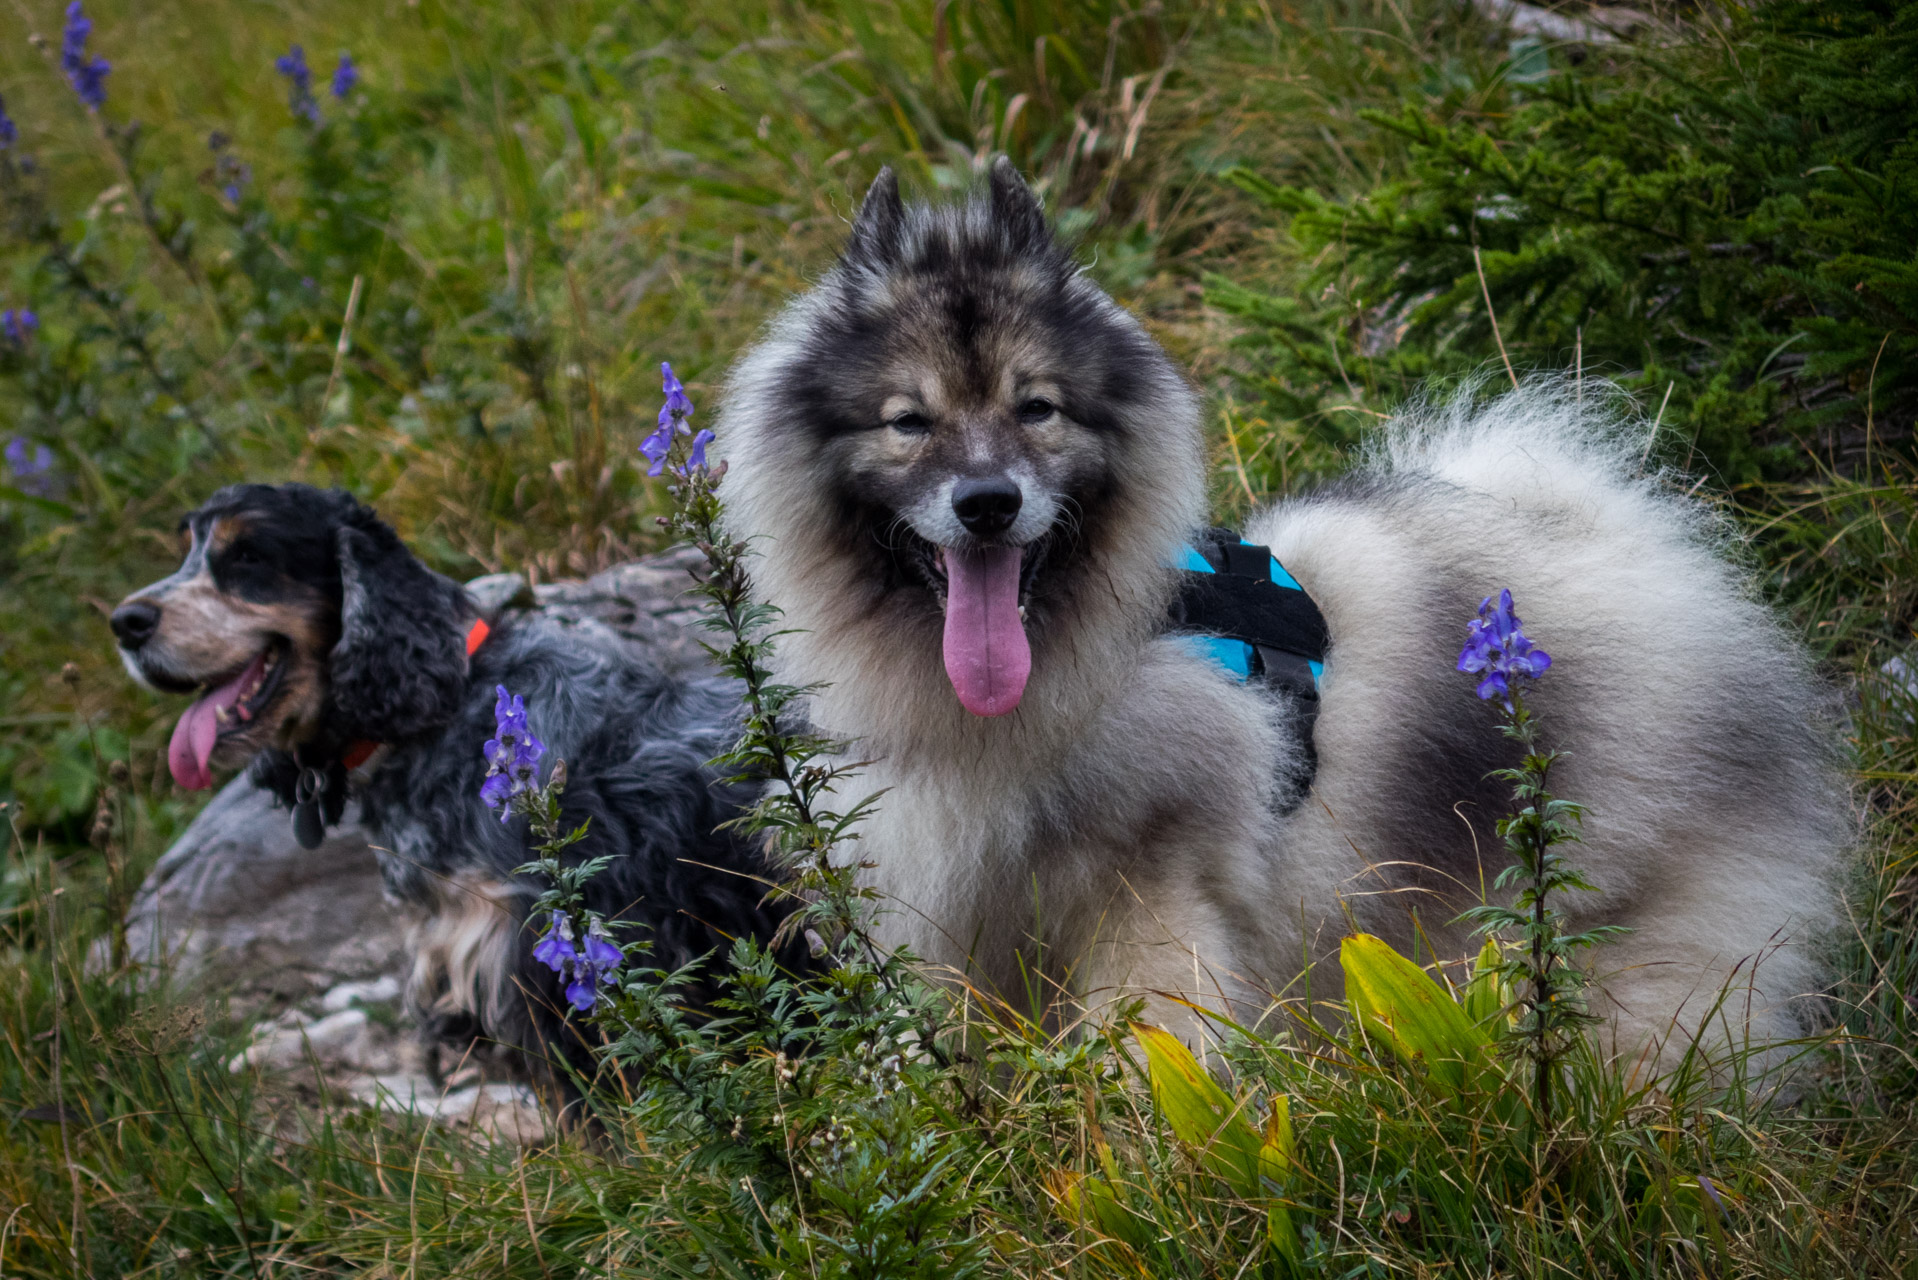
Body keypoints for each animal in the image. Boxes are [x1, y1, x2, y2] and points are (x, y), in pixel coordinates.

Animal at [713, 163, 1848, 1082]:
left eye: (1037, 408)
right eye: (909, 422)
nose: (987, 501)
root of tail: (1643, 555)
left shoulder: (1150, 896)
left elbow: (1150, 1057)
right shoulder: (945, 928)